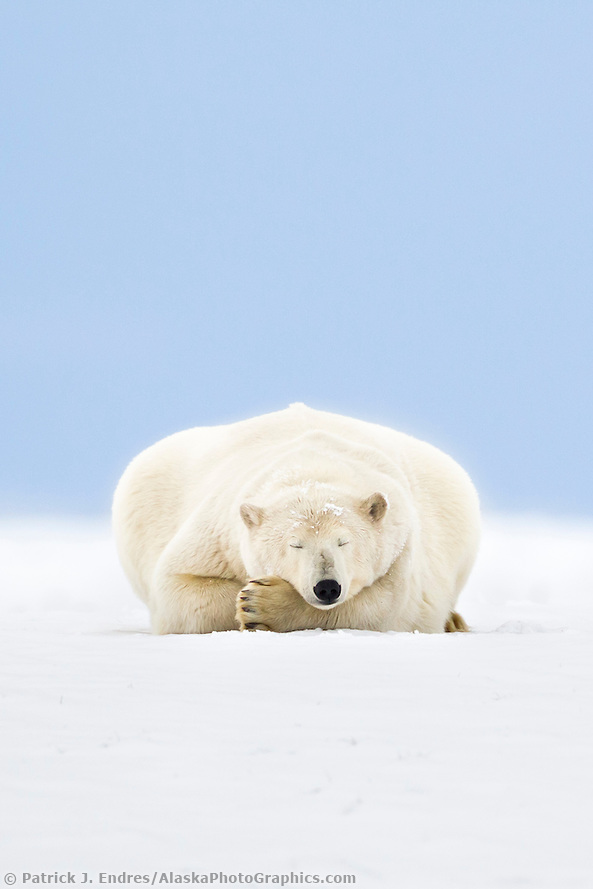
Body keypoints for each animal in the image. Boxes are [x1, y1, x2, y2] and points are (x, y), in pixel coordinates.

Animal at [112, 402, 480, 632]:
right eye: (295, 545)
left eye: (344, 542)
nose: (327, 587)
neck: (312, 464)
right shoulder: (217, 534)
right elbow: (177, 589)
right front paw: (247, 599)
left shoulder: (402, 544)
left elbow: (386, 606)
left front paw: (262, 604)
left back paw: (455, 622)